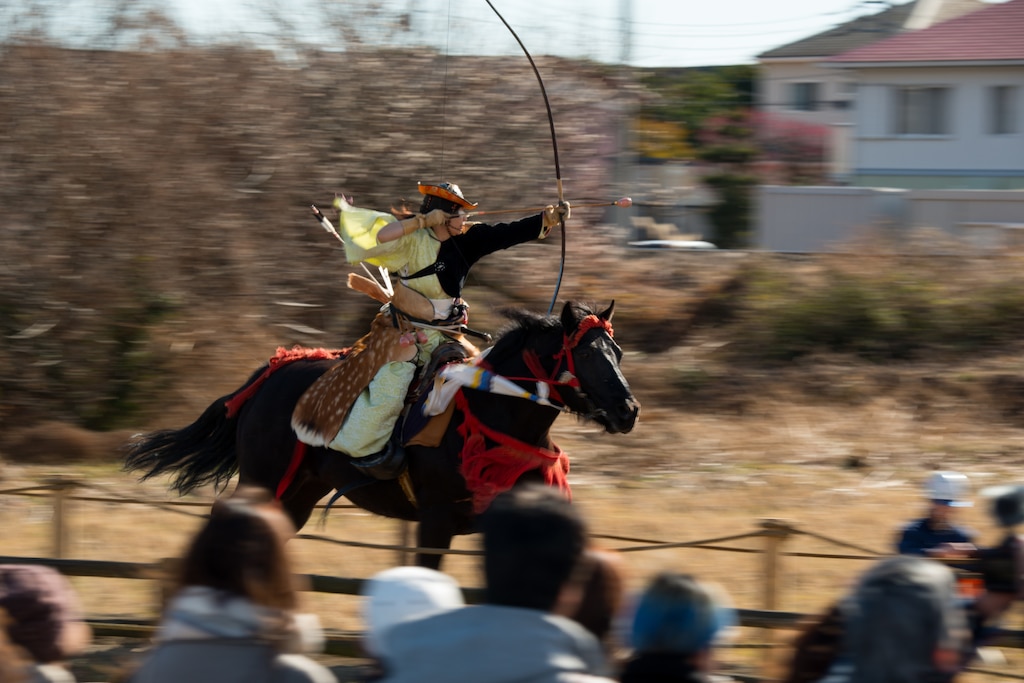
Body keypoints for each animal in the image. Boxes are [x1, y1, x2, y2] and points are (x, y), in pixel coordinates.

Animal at [123, 301, 638, 569]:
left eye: (617, 351)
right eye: (587, 355)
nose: (628, 410)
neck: (494, 413)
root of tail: (272, 373)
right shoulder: (435, 521)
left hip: (299, 492)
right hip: (263, 479)